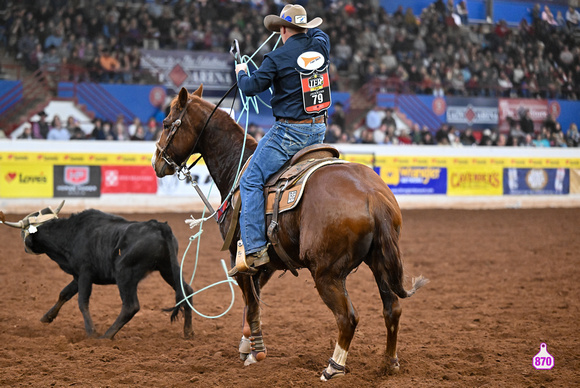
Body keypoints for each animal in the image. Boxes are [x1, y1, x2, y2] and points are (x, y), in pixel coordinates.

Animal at [152, 85, 428, 382]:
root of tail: (372, 195)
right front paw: (247, 345)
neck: (237, 165)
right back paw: (389, 363)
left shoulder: (240, 261)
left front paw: (255, 352)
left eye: (167, 123)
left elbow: (251, 305)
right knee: (392, 310)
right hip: (379, 263)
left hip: (327, 273)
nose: (156, 163)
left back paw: (333, 367)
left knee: (347, 317)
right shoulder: (267, 264)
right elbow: (252, 303)